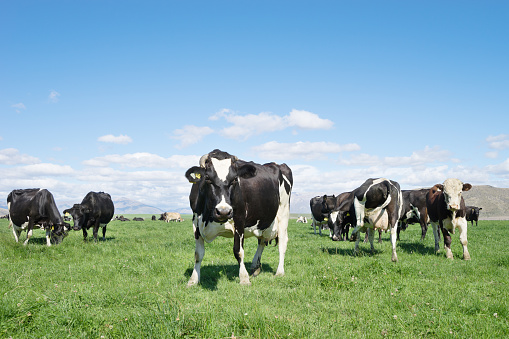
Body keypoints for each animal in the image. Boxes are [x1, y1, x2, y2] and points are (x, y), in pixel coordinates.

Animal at [185, 150, 292, 286]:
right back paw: (255, 266)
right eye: (207, 178)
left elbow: (238, 251)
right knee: (262, 240)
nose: (223, 211)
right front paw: (193, 280)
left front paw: (244, 278)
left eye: (235, 179)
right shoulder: (196, 222)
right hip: (264, 220)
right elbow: (198, 254)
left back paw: (279, 271)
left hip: (283, 212)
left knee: (282, 242)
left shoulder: (239, 220)